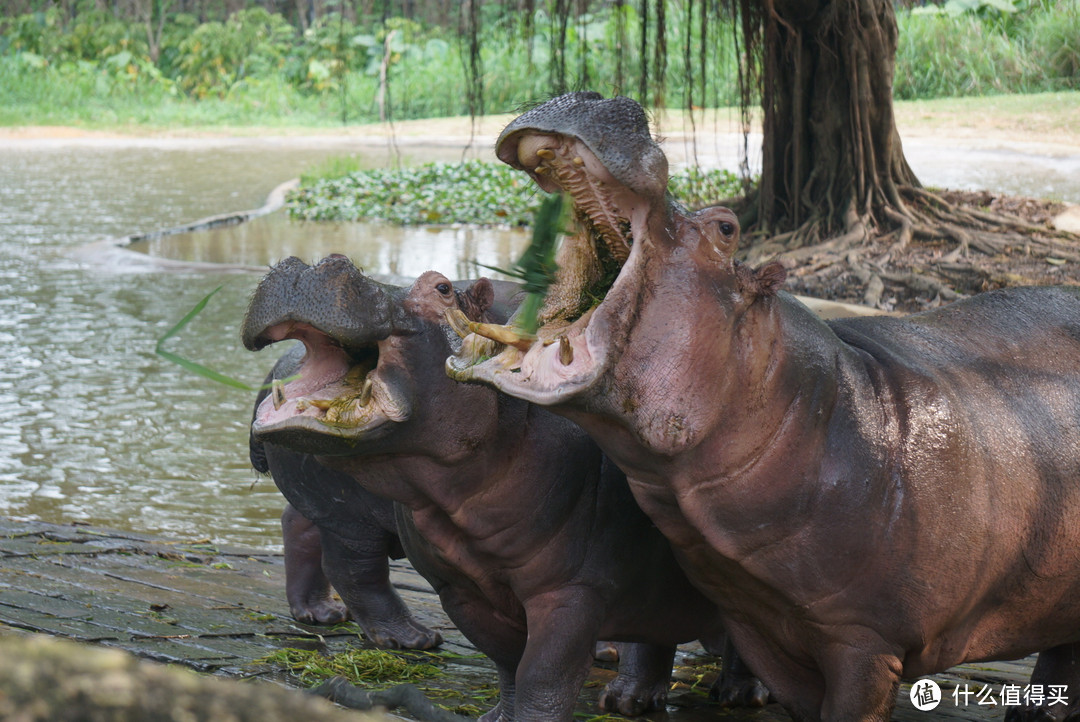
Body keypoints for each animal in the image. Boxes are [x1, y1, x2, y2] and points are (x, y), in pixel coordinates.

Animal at [241, 255, 764, 720]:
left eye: (442, 287)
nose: (309, 266)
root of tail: (275, 370)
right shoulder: (467, 586)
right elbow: (523, 666)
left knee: (300, 529)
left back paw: (320, 614)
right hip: (350, 513)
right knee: (355, 569)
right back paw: (413, 638)